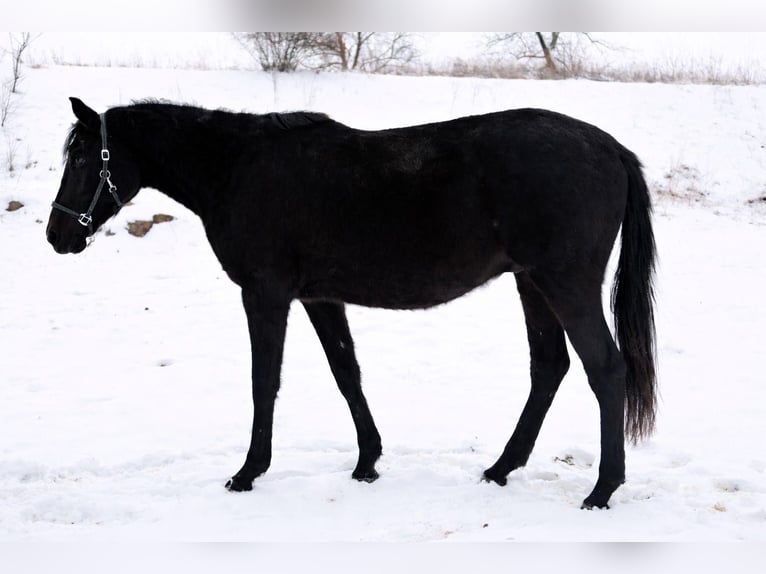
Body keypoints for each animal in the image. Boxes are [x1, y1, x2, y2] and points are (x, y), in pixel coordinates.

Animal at [47, 97, 656, 509]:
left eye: (83, 160)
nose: (57, 236)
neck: (237, 169)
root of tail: (610, 149)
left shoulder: (265, 294)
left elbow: (264, 381)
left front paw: (248, 472)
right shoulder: (320, 297)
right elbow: (347, 373)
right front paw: (368, 462)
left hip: (564, 282)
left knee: (605, 369)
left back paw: (602, 489)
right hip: (532, 283)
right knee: (549, 366)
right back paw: (502, 468)